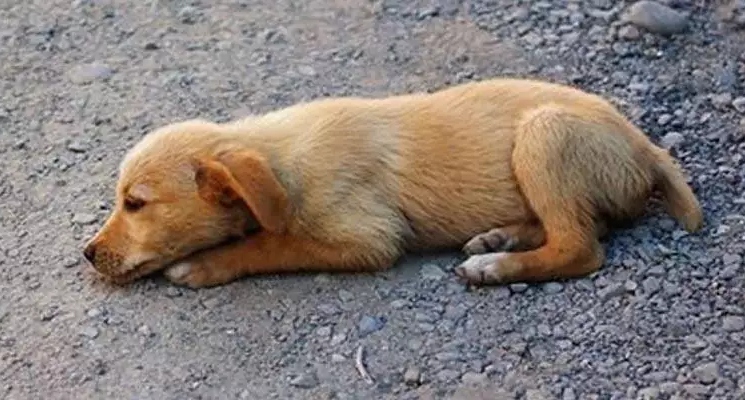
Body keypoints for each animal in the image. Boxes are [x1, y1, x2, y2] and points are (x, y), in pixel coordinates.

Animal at [83, 78, 704, 290]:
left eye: (135, 203)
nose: (88, 255)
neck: (281, 161)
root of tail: (646, 146)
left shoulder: (367, 238)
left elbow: (272, 243)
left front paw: (207, 264)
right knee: (579, 225)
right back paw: (499, 237)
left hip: (543, 134)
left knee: (581, 245)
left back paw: (494, 266)